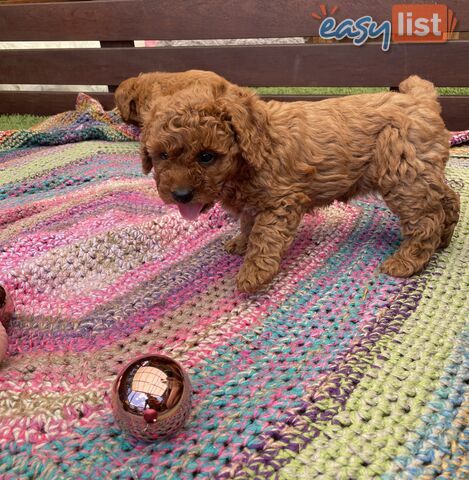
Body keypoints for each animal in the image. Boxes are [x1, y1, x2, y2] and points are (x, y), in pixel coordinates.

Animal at [141, 74, 458, 292]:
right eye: (162, 155)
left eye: (206, 156)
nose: (180, 195)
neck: (254, 147)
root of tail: (420, 99)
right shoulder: (254, 203)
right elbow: (247, 223)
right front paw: (241, 243)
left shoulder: (282, 201)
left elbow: (264, 235)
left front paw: (254, 272)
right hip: (421, 173)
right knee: (448, 198)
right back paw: (444, 239)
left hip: (404, 175)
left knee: (426, 217)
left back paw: (408, 261)